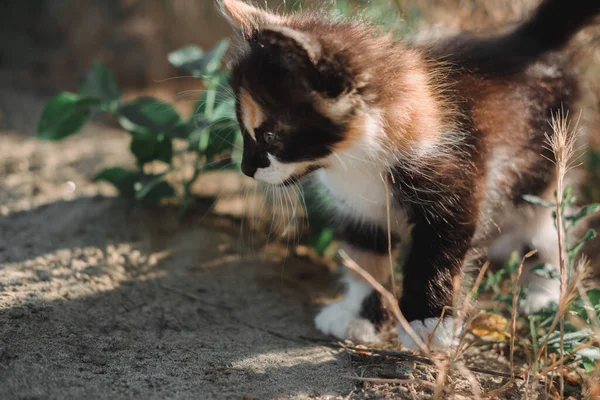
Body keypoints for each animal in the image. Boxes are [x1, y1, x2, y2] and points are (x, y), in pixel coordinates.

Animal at [219, 0, 600, 348]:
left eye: (271, 136)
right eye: (243, 130)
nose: (246, 168)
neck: (354, 158)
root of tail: (528, 41)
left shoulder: (454, 187)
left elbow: (434, 257)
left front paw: (426, 323)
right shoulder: (362, 210)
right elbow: (366, 258)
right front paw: (357, 314)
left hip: (540, 167)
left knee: (547, 226)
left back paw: (543, 292)